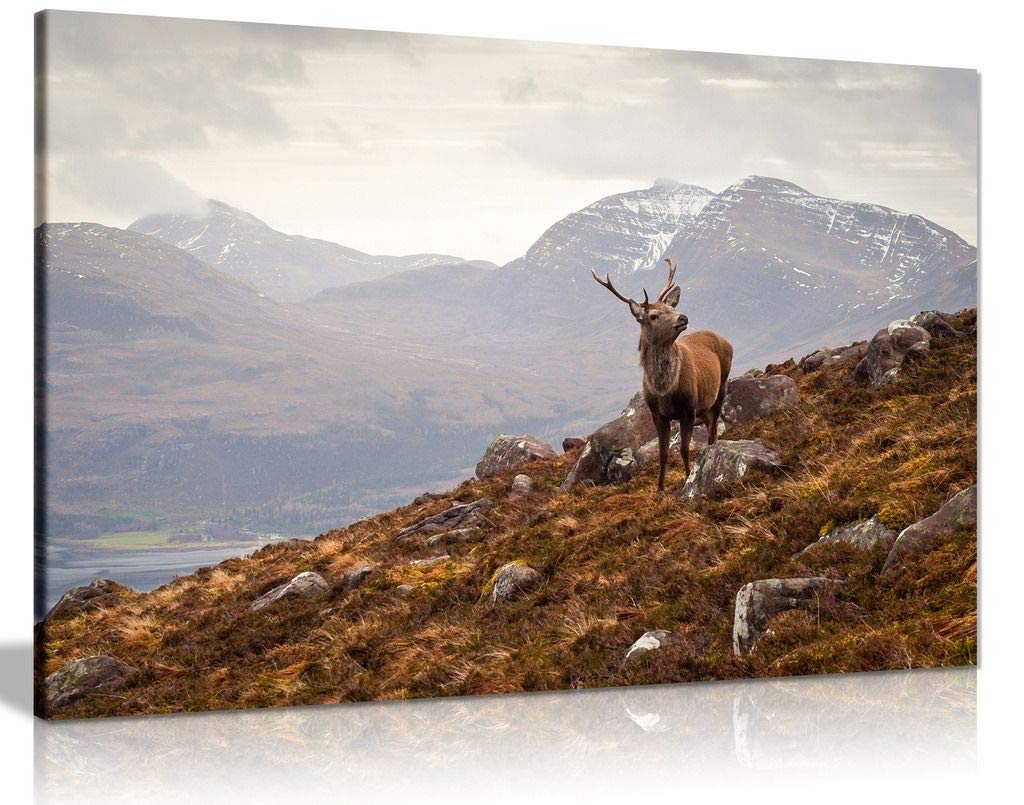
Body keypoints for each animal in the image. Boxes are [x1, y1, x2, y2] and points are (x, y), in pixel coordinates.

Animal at [592, 258, 733, 492]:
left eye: (670, 307)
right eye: (653, 315)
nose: (683, 317)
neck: (665, 390)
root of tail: (725, 341)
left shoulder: (688, 408)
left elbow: (684, 449)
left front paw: (687, 478)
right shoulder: (657, 414)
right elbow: (663, 452)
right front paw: (660, 488)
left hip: (721, 387)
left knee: (713, 431)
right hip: (704, 406)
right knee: (710, 427)